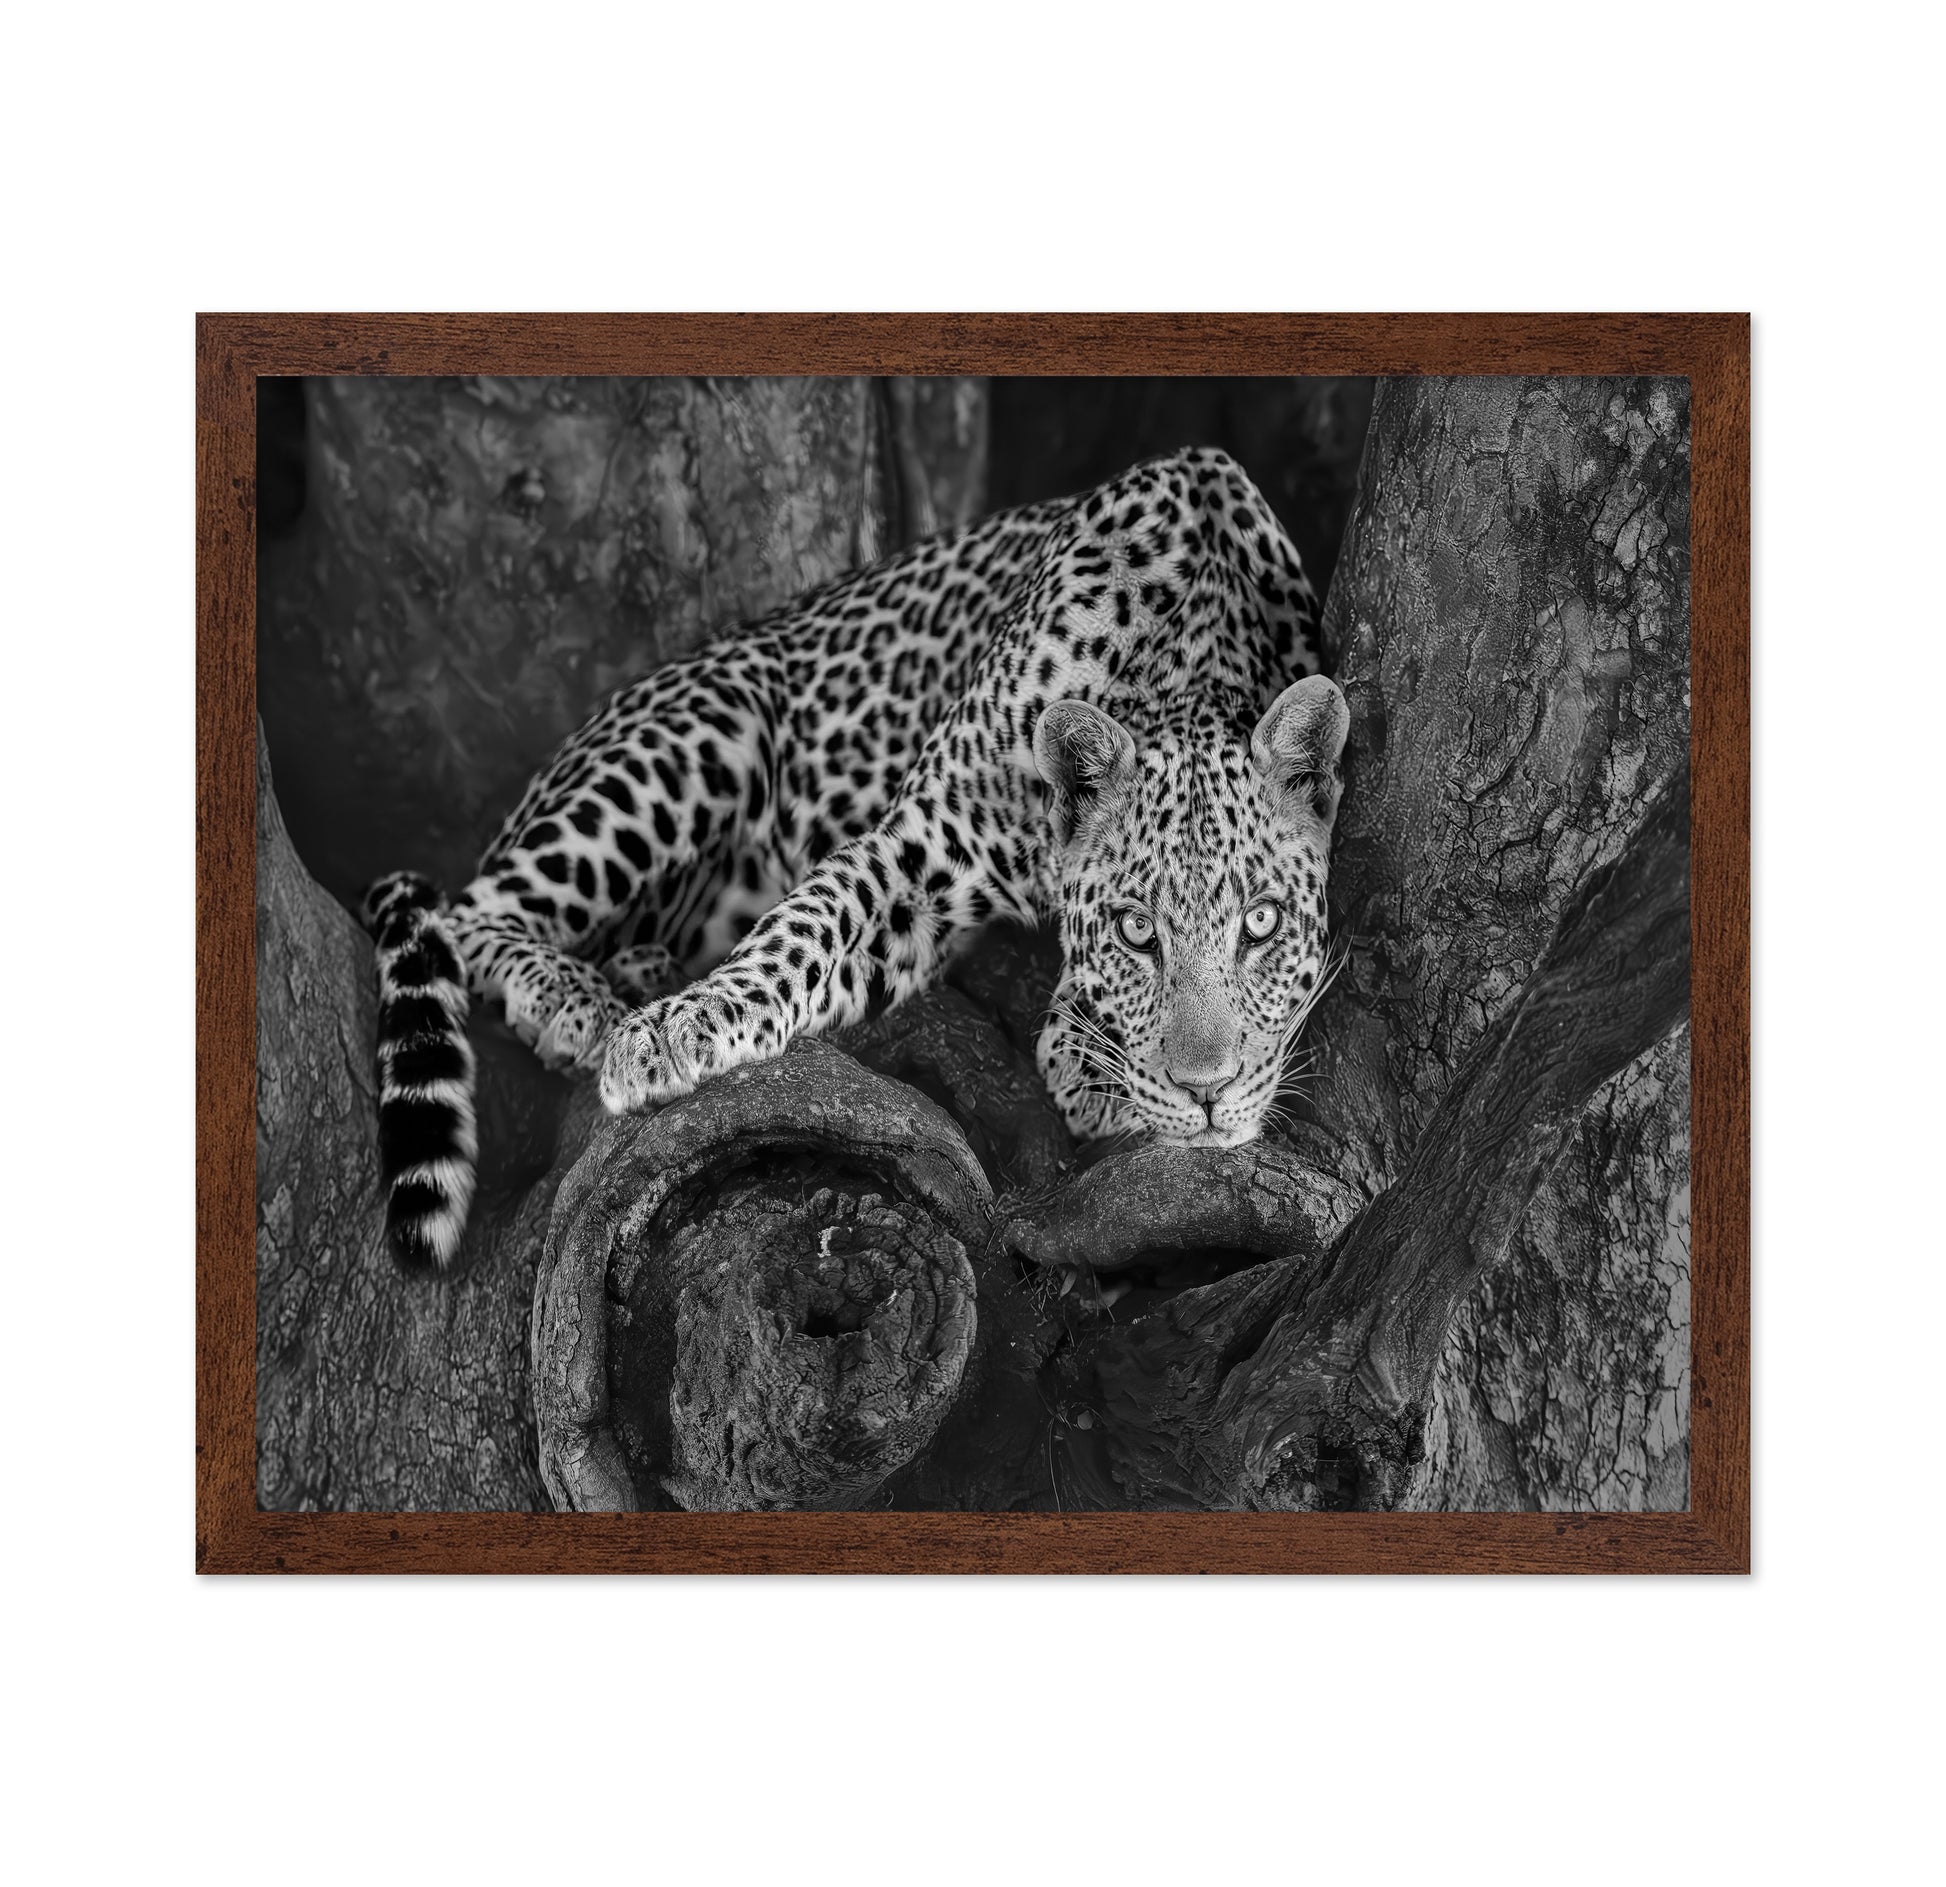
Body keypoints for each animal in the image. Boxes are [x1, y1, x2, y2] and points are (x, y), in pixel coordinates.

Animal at [363, 447, 1350, 1270]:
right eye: (1137, 932)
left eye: (1262, 924)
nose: (1210, 1094)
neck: (1184, 652)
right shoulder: (918, 844)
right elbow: (800, 928)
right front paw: (675, 1032)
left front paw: (1087, 1052)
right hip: (701, 732)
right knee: (464, 911)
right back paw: (577, 1002)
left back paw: (637, 967)